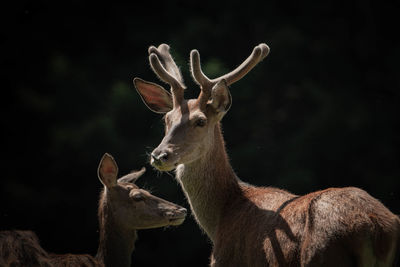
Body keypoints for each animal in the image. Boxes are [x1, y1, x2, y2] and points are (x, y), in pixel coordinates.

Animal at [135, 43, 400, 266]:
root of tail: (375, 228)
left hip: (322, 254)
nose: (159, 155)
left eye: (200, 121)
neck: (222, 217)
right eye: (166, 119)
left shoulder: (225, 261)